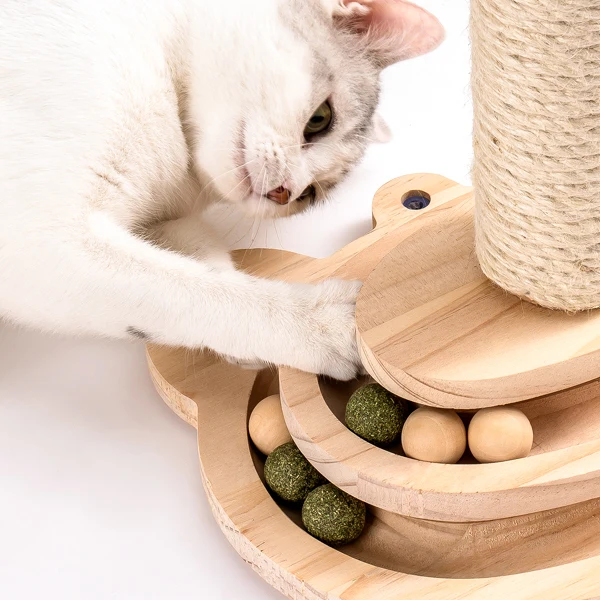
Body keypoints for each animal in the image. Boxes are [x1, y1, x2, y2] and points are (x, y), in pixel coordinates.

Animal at [0, 0, 443, 380]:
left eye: (311, 194)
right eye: (320, 119)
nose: (284, 191)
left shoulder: (165, 223)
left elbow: (199, 263)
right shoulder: (39, 238)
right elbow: (189, 290)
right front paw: (326, 321)